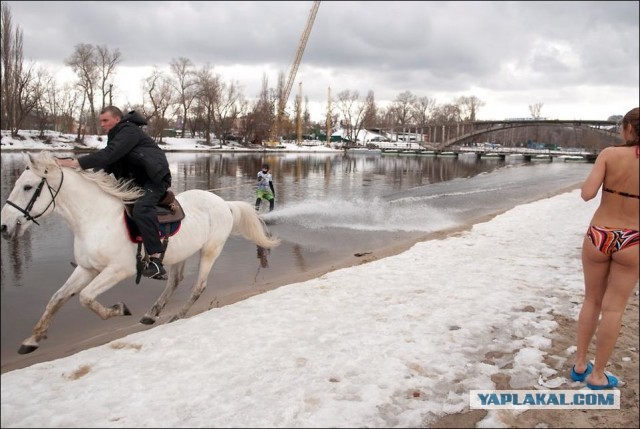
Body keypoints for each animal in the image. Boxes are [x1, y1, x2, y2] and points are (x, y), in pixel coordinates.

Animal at [1, 152, 280, 352]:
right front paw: (32, 339)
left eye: (27, 187)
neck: (96, 219)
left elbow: (86, 298)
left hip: (210, 250)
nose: (4, 226)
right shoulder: (87, 268)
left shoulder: (117, 270)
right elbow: (58, 298)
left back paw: (176, 315)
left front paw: (119, 309)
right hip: (181, 253)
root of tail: (225, 204)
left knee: (198, 287)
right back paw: (151, 314)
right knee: (174, 281)